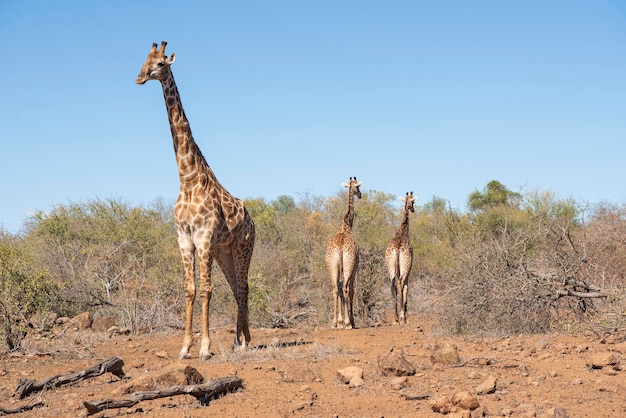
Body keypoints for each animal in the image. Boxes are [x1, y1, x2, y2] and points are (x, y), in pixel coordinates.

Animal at [135, 40, 255, 360]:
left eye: (160, 64)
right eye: (143, 61)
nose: (139, 78)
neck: (187, 178)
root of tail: (252, 221)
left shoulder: (203, 238)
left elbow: (206, 290)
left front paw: (204, 347)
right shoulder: (184, 239)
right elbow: (190, 290)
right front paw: (185, 346)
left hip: (242, 248)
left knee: (243, 288)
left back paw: (246, 342)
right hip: (224, 252)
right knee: (237, 287)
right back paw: (239, 340)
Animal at [324, 176, 364, 330]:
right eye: (358, 187)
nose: (360, 195)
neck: (347, 224)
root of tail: (340, 248)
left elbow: (340, 289)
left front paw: (340, 321)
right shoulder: (355, 267)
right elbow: (351, 290)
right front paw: (351, 321)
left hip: (332, 266)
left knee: (336, 289)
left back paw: (335, 322)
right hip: (348, 265)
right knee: (346, 289)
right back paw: (347, 323)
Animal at [382, 191, 416, 324]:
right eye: (413, 202)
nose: (413, 209)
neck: (403, 230)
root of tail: (397, 250)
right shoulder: (409, 269)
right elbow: (406, 288)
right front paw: (406, 316)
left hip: (390, 265)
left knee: (392, 284)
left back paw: (396, 317)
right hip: (405, 266)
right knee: (400, 283)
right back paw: (401, 317)